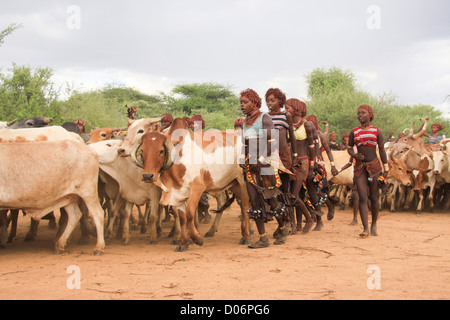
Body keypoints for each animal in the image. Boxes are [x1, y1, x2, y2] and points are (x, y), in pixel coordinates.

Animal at [126, 119, 251, 251]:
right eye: (142, 151)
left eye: (161, 151)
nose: (147, 176)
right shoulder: (178, 193)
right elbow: (182, 217)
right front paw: (183, 242)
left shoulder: (197, 188)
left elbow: (190, 214)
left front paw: (196, 238)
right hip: (232, 183)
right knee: (230, 203)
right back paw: (215, 230)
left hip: (242, 181)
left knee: (246, 205)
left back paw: (246, 235)